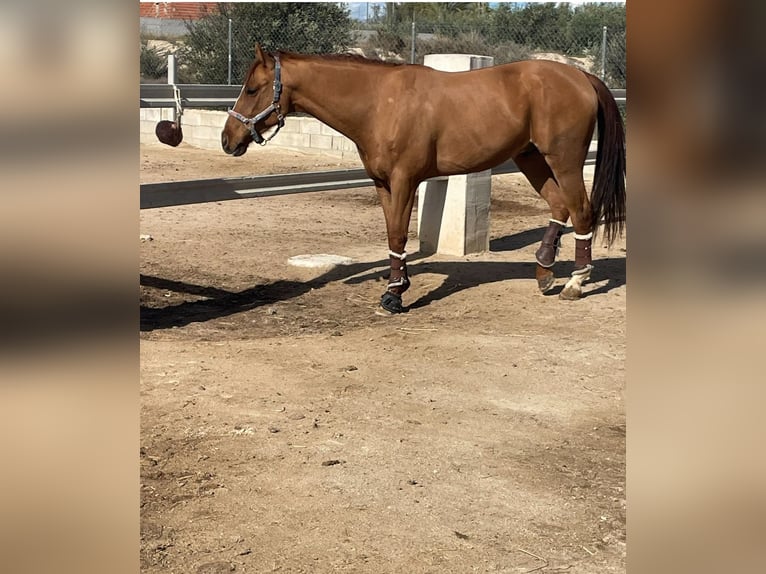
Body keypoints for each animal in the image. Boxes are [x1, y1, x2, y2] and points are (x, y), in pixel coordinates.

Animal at [219, 45, 628, 316]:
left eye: (252, 89)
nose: (228, 139)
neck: (379, 103)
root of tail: (582, 76)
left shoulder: (404, 181)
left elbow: (400, 236)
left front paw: (394, 296)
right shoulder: (382, 183)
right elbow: (391, 236)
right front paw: (395, 286)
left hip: (565, 160)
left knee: (581, 211)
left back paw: (575, 283)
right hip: (530, 158)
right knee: (560, 206)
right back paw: (544, 273)